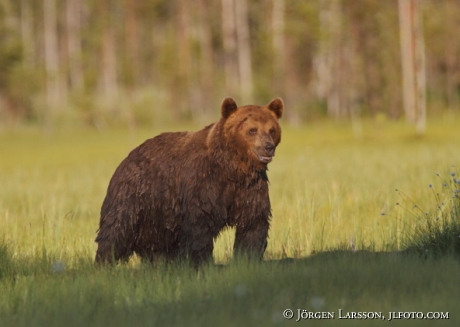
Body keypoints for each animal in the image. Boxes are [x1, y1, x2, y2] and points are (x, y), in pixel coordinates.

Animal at [95, 97, 284, 266]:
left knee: (157, 244)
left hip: (160, 213)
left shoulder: (250, 188)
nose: (268, 147)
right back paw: (104, 263)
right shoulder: (204, 184)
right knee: (116, 229)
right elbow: (199, 225)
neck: (234, 167)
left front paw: (248, 259)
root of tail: (128, 157)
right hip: (133, 195)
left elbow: (253, 223)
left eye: (271, 129)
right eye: (252, 130)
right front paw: (201, 262)